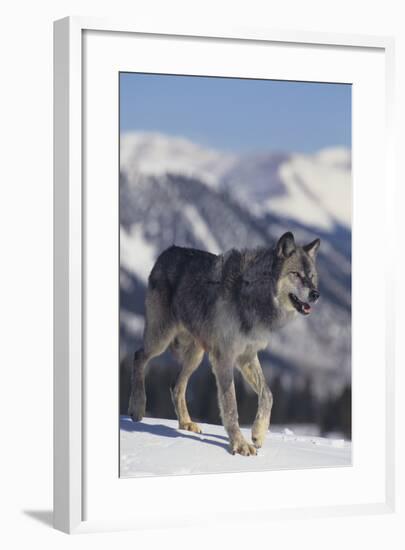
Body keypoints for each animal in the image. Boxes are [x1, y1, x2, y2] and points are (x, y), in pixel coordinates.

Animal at [128, 233, 320, 458]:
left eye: (312, 276)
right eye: (296, 274)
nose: (316, 294)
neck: (254, 293)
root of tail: (167, 251)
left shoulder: (247, 356)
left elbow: (268, 394)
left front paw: (258, 434)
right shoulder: (224, 357)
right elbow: (230, 405)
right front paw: (240, 444)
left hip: (196, 355)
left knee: (176, 385)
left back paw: (186, 423)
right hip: (160, 339)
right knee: (138, 356)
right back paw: (137, 408)